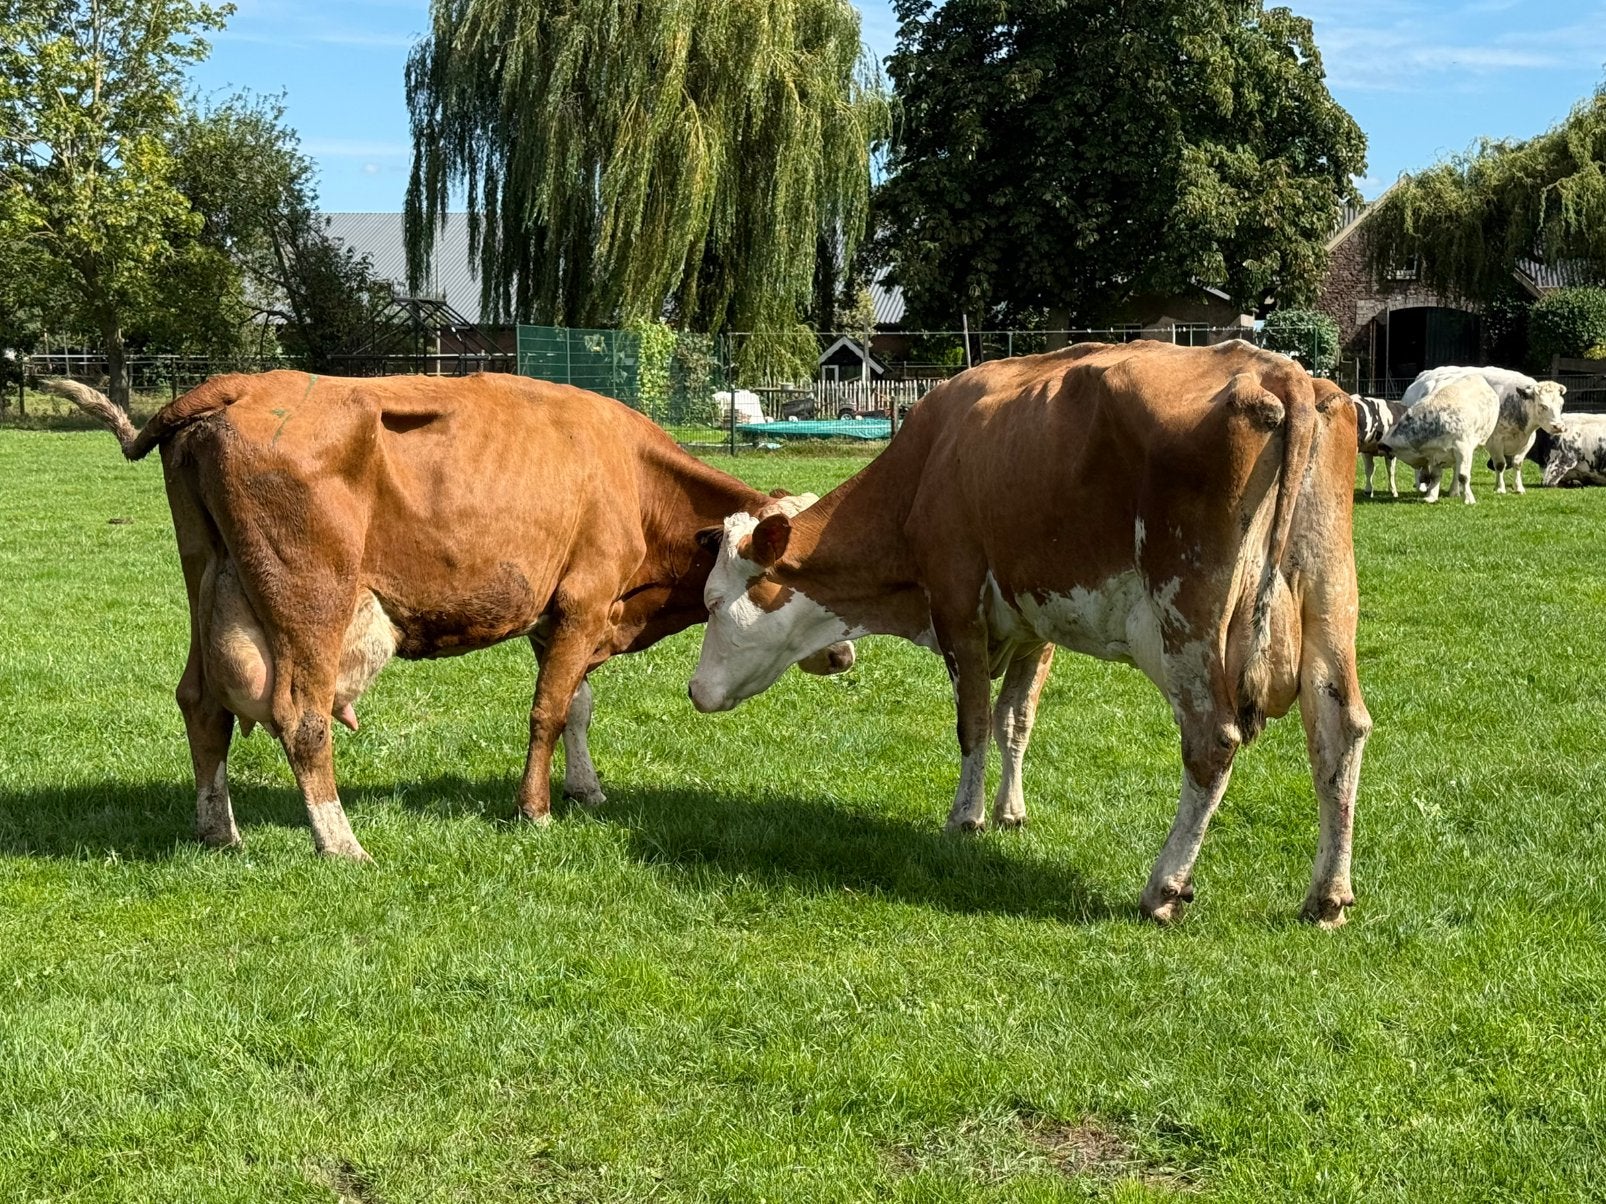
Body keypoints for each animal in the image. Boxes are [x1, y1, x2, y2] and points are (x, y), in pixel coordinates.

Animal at [44, 373, 852, 860]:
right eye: (793, 581)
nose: (845, 655)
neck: (634, 478)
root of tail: (241, 384)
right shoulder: (585, 603)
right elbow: (549, 710)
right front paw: (536, 811)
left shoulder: (557, 616)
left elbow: (578, 706)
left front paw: (586, 790)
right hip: (309, 600)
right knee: (299, 715)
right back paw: (340, 842)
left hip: (208, 579)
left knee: (201, 703)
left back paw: (219, 831)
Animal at [687, 340, 1370, 927]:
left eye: (714, 603)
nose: (694, 690)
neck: (928, 463)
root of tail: (1278, 370)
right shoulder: (1035, 623)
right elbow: (1015, 719)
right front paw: (1010, 812)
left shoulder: (957, 605)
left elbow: (973, 722)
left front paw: (965, 820)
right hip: (1330, 597)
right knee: (1340, 729)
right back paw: (1327, 896)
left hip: (1185, 619)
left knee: (1213, 740)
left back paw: (1165, 887)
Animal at [1379, 375, 1502, 503]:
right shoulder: (1436, 454)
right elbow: (1435, 476)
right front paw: (1431, 496)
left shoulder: (1463, 449)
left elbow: (1463, 476)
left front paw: (1468, 499)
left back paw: (1455, 491)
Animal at [1403, 366, 1567, 495]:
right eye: (1542, 405)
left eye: (1561, 404)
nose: (1558, 426)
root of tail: (1424, 375)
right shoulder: (1494, 442)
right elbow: (1500, 465)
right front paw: (1500, 488)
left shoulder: (1528, 441)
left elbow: (1517, 464)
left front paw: (1519, 488)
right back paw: (1421, 486)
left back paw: (1453, 490)